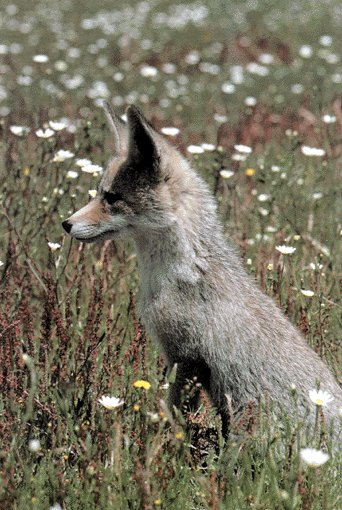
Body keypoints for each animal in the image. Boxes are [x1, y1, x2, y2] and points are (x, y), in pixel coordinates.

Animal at [62, 102, 340, 438]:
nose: (66, 224)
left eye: (111, 197)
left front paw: (162, 442)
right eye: (99, 193)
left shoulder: (188, 357)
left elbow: (173, 416)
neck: (180, 274)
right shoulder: (179, 357)